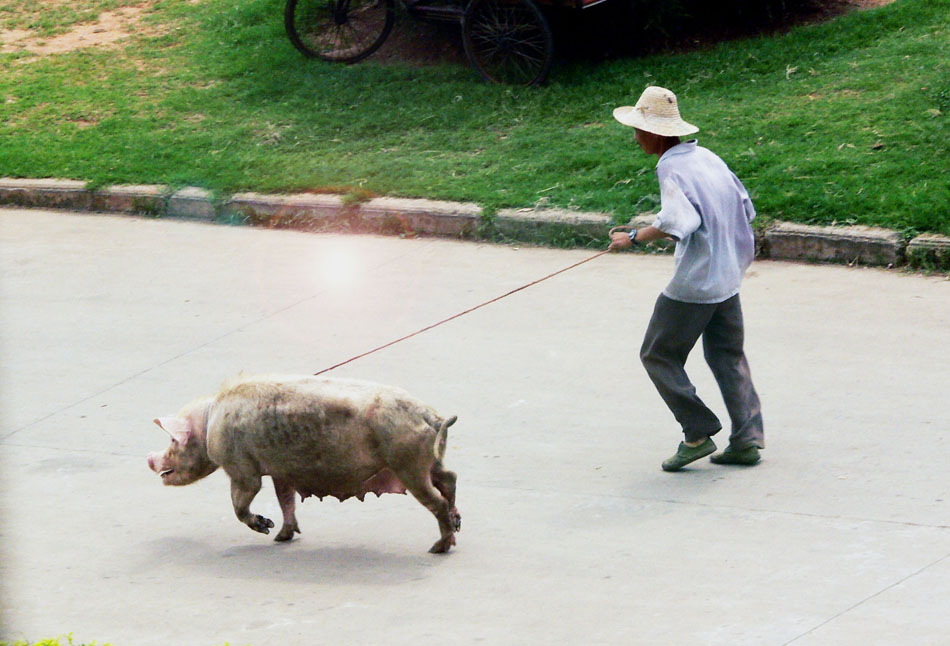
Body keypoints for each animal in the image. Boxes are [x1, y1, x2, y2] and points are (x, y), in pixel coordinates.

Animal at [147, 378, 462, 556]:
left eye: (173, 441)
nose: (150, 459)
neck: (210, 422)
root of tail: (431, 416)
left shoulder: (241, 467)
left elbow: (240, 503)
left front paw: (266, 528)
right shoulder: (280, 471)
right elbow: (285, 500)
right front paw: (281, 536)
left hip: (408, 462)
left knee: (436, 500)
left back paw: (439, 547)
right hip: (428, 460)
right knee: (450, 478)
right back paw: (457, 523)